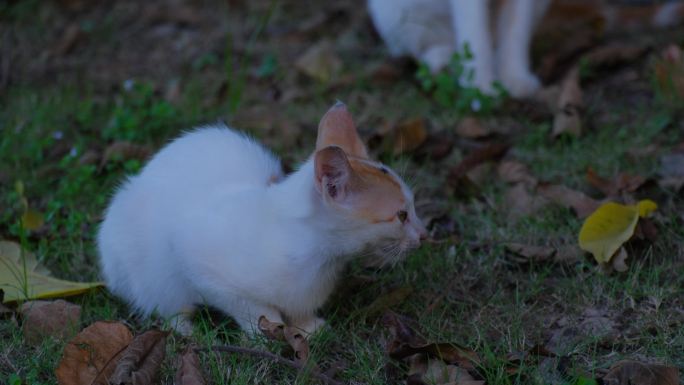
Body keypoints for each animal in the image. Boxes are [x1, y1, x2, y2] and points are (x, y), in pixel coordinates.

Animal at [97, 103, 428, 334]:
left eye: (412, 207)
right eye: (401, 215)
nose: (424, 234)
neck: (318, 256)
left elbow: (299, 310)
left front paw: (308, 328)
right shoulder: (197, 259)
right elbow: (251, 308)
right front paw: (266, 333)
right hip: (148, 271)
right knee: (164, 303)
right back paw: (184, 329)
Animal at [368, 0, 552, 97]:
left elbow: (515, 32)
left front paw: (515, 77)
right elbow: (476, 36)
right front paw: (479, 87)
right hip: (395, 15)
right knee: (416, 50)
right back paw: (440, 61)